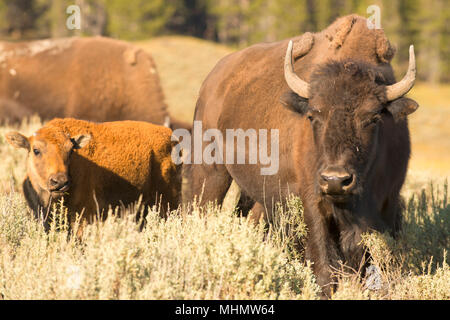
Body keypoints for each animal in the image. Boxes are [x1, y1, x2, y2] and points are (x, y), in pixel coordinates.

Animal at [5, 117, 181, 235]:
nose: (60, 182)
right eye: (36, 150)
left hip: (167, 203)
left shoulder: (84, 216)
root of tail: (170, 135)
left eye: (70, 150)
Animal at [186, 14, 418, 296]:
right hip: (210, 172)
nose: (335, 180)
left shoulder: (385, 205)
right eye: (313, 115)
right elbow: (323, 264)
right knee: (200, 208)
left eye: (373, 118)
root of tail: (212, 81)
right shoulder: (313, 202)